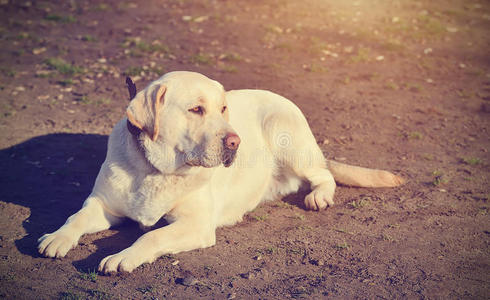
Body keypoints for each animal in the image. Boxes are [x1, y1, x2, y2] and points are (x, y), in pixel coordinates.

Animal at [38, 71, 404, 274]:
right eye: (196, 109)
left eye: (223, 108)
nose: (235, 142)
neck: (156, 169)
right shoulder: (103, 205)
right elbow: (77, 217)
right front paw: (57, 237)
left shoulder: (196, 225)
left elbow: (151, 235)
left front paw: (121, 257)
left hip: (286, 134)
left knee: (323, 174)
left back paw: (319, 196)